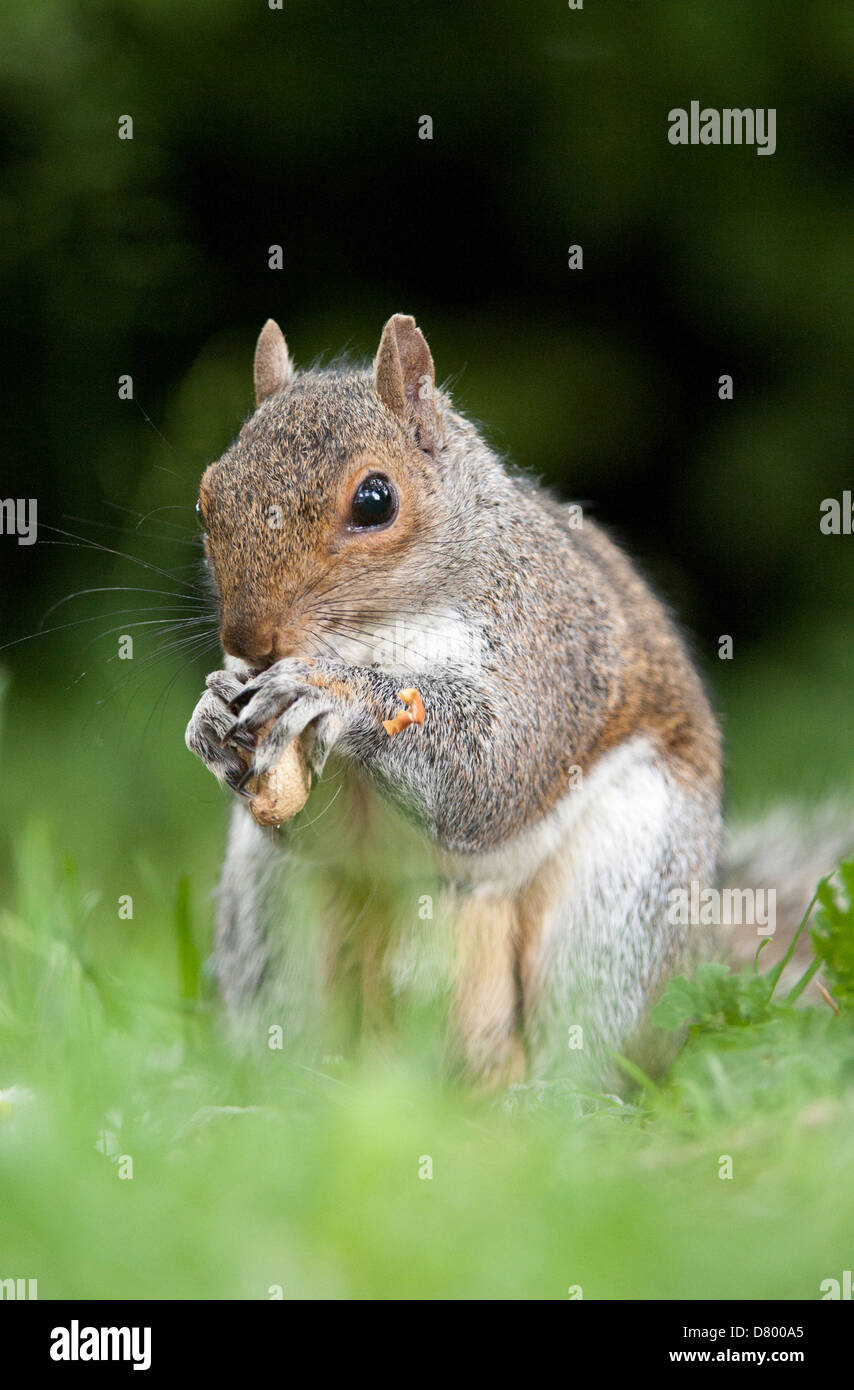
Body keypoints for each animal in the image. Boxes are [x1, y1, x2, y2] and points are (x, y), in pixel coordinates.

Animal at [189, 309, 790, 1089]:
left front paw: (334, 694)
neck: (378, 634)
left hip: (629, 887)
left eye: (375, 500)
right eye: (207, 498)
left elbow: (492, 770)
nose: (250, 640)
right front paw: (210, 721)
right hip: (270, 911)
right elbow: (304, 823)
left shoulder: (550, 648)